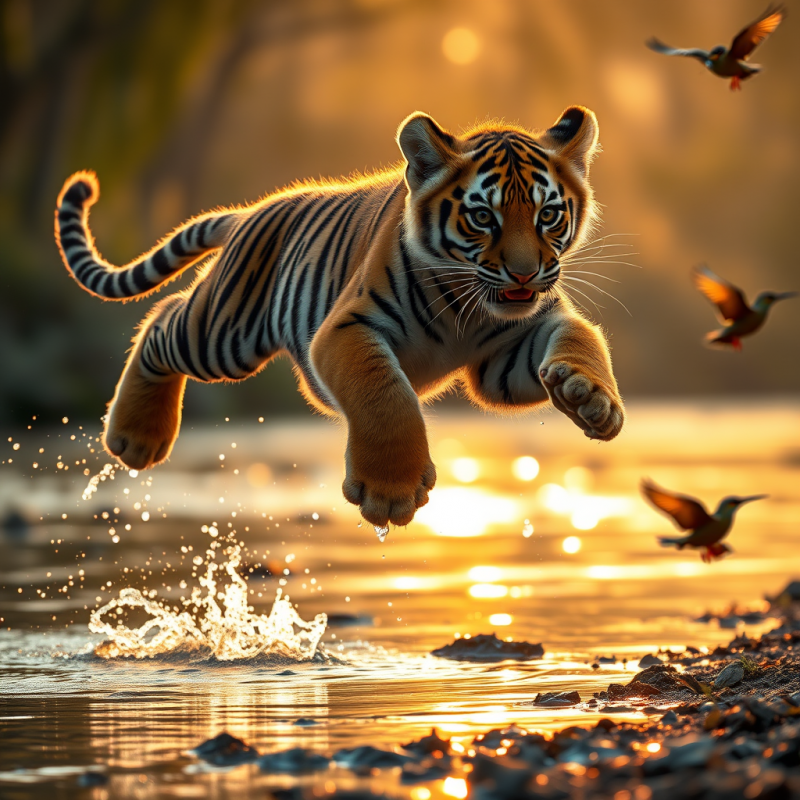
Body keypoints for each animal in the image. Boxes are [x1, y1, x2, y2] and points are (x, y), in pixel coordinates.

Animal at [55, 105, 624, 528]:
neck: (468, 307)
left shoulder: (506, 355)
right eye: (483, 217)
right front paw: (390, 494)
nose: (525, 274)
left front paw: (589, 398)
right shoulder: (348, 329)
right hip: (223, 334)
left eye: (548, 215)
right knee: (163, 320)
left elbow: (580, 334)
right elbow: (385, 395)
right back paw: (137, 437)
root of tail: (249, 212)